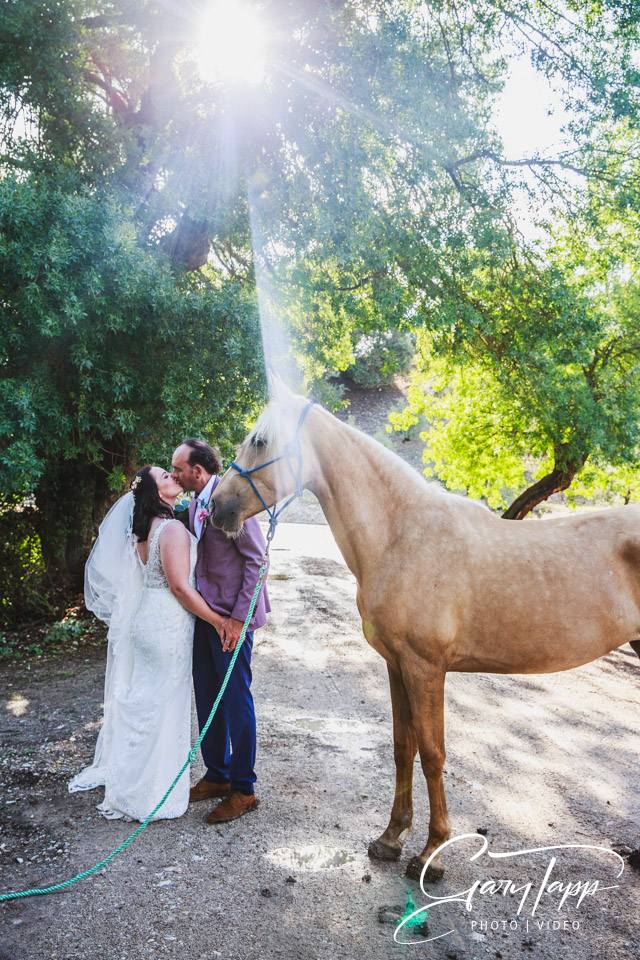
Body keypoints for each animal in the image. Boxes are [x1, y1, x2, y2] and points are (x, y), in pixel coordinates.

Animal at [210, 380, 640, 876]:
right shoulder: (398, 665)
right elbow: (404, 746)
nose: (216, 507)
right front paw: (391, 837)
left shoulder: (426, 667)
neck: (402, 535)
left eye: (260, 440)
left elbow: (433, 754)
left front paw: (432, 852)